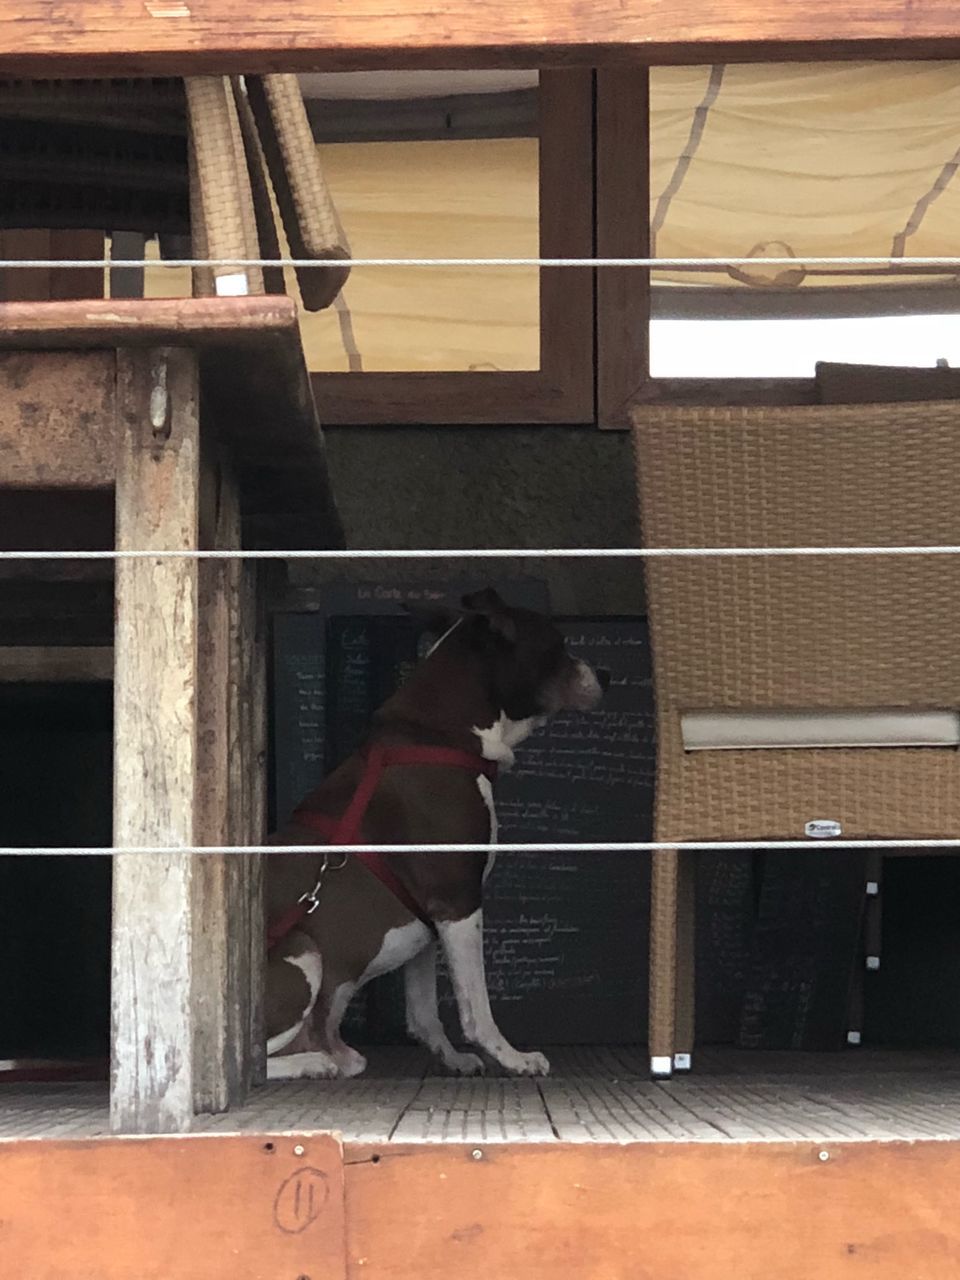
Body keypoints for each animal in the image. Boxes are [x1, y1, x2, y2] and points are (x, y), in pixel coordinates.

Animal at [267, 588, 604, 1080]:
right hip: (302, 951)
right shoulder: (458, 901)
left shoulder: (426, 922)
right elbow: (476, 1007)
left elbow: (423, 1011)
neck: (444, 736)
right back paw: (314, 1062)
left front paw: (453, 1059)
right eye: (558, 647)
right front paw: (513, 1058)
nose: (606, 675)